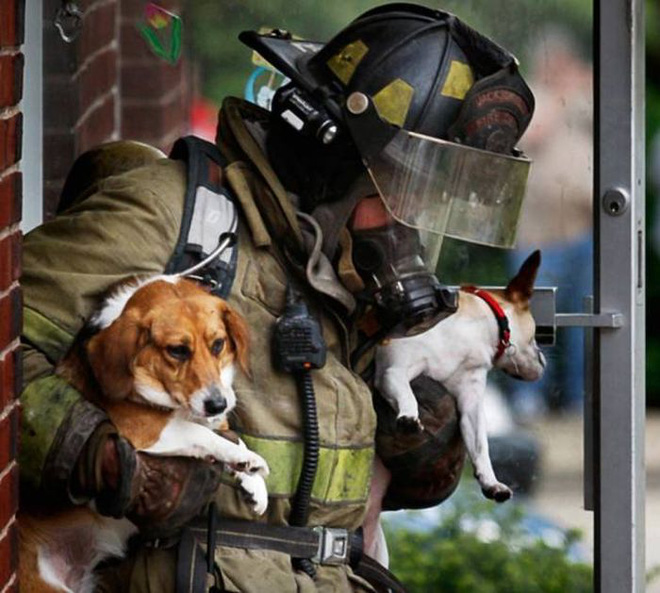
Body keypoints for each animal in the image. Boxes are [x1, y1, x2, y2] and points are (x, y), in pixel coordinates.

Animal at [20, 276, 268, 592]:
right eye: (177, 350)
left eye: (218, 344)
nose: (217, 404)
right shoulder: (144, 429)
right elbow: (201, 434)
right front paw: (246, 458)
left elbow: (226, 433)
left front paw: (252, 479)